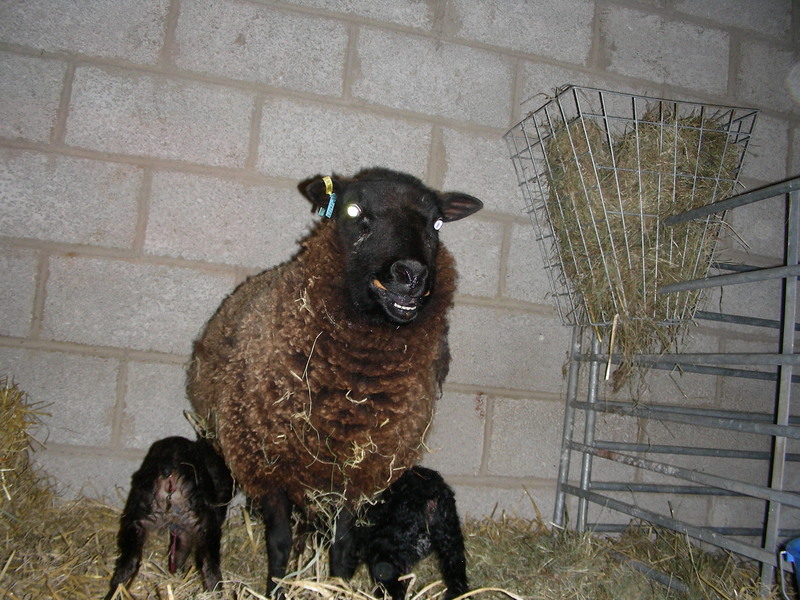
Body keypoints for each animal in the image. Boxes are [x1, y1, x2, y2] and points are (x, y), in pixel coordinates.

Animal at [104, 436, 234, 600]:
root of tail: (170, 465)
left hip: (138, 517)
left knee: (128, 564)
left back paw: (117, 592)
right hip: (203, 522)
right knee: (209, 566)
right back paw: (216, 592)